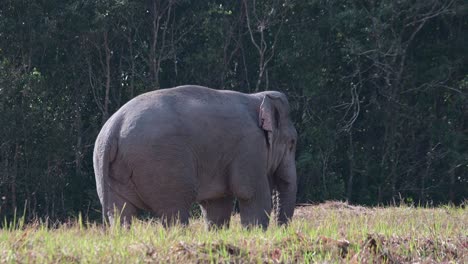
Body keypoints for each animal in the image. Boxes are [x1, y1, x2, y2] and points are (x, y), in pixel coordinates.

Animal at [92, 85, 296, 229]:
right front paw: (255, 233)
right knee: (174, 211)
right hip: (162, 166)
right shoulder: (250, 147)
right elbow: (253, 196)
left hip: (109, 170)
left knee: (119, 212)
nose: (281, 230)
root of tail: (114, 127)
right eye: (292, 143)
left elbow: (216, 205)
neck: (257, 97)